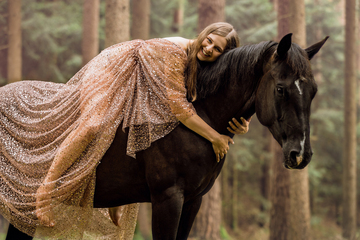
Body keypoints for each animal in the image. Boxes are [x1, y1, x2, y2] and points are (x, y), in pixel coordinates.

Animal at [5, 34, 326, 240]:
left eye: (313, 91)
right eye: (281, 88)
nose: (301, 154)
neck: (200, 116)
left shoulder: (194, 200)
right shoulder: (167, 199)